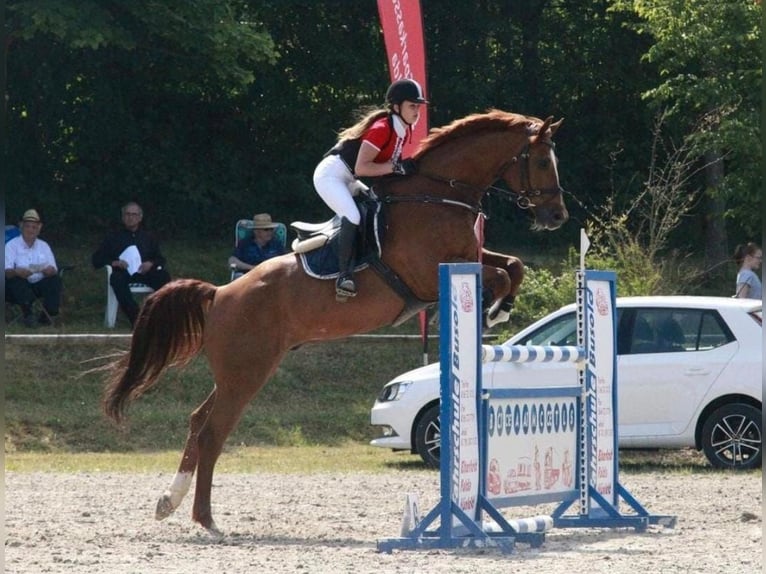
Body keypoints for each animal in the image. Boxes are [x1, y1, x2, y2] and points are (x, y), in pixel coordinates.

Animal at [102, 109, 568, 534]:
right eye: (543, 162)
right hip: (245, 373)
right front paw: (494, 306)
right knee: (212, 433)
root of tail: (219, 295)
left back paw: (169, 501)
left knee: (199, 421)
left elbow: (513, 265)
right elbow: (500, 274)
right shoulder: (427, 272)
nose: (558, 217)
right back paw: (207, 520)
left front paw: (500, 307)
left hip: (242, 371)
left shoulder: (470, 255)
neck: (437, 195)